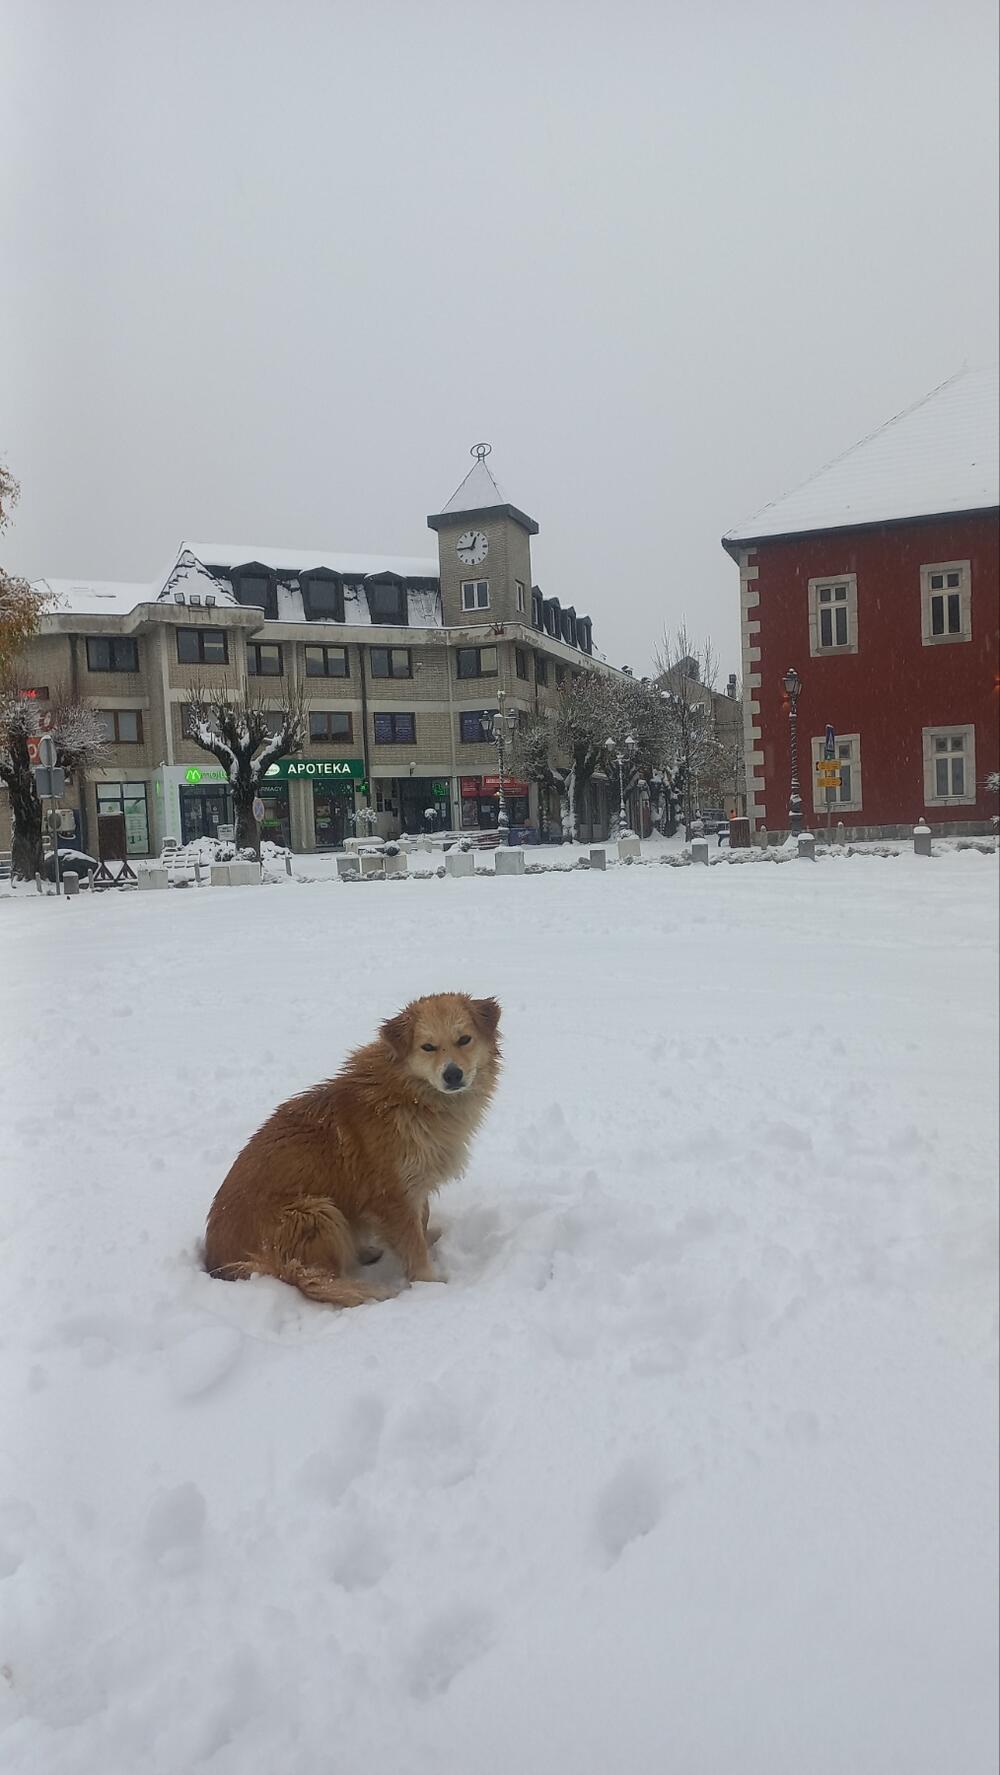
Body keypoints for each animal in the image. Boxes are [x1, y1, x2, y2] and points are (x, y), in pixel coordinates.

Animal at [203, 994, 500, 1313]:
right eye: (428, 1047)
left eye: (464, 1039)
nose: (452, 1074)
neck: (409, 1096)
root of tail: (218, 1265)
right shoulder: (390, 1194)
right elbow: (412, 1244)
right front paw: (428, 1285)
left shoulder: (413, 1183)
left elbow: (421, 1219)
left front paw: (427, 1238)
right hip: (316, 1213)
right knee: (318, 1278)